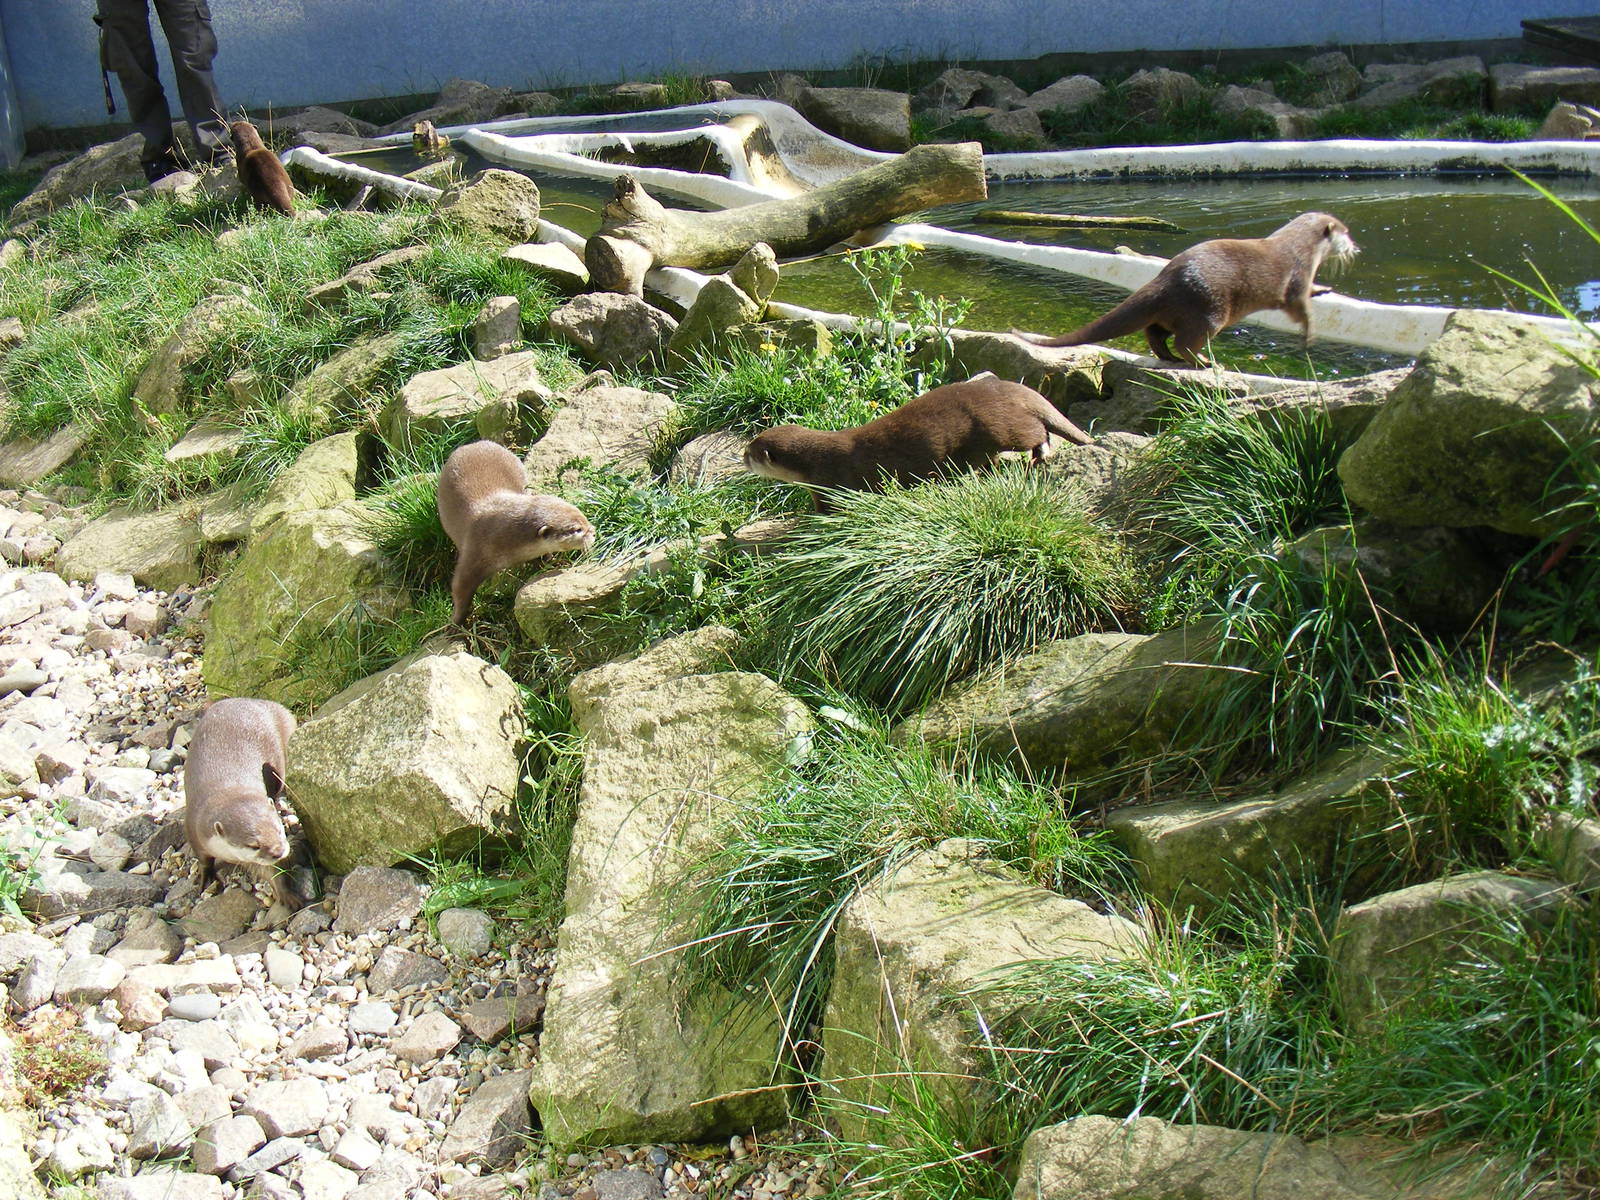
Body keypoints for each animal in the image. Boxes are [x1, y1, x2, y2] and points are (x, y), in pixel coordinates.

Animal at [184, 697, 307, 910]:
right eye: (253, 845)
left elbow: (273, 871)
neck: (227, 788)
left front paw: (287, 895)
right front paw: (205, 876)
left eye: (278, 830)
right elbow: (204, 859)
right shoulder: (194, 829)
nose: (279, 851)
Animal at [437, 440, 596, 625]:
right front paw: (455, 622)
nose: (593, 532)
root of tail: (474, 443)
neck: (502, 537)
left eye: (583, 517)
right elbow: (460, 589)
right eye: (576, 529)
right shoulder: (474, 551)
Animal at [743, 377, 1093, 511]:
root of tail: (1012, 390)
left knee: (1036, 432)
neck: (817, 460)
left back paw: (1041, 453)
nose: (742, 457)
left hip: (1000, 426)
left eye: (751, 451)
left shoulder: (831, 484)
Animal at [1014, 212, 1358, 365]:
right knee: (1185, 341)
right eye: (1346, 232)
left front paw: (1323, 288)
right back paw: (1204, 362)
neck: (1303, 247)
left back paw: (1169, 359)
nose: (1355, 247)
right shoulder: (1297, 275)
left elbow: (1311, 293)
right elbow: (1300, 308)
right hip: (1208, 310)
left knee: (1155, 333)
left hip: (1176, 312)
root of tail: (1164, 280)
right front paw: (1309, 335)